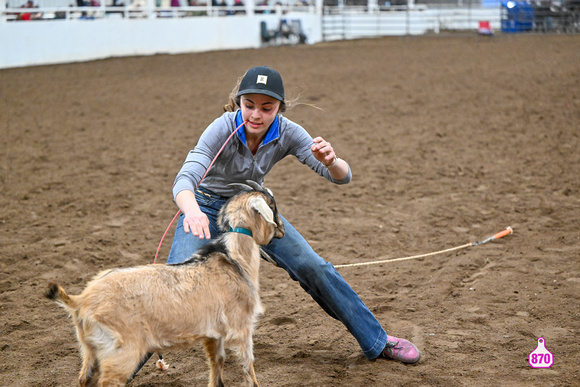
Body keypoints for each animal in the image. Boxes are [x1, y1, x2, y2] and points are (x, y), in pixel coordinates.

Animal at [46, 183, 286, 387]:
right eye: (272, 205)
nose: (283, 229)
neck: (233, 259)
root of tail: (81, 300)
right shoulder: (241, 328)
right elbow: (248, 367)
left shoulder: (213, 334)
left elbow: (217, 365)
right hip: (121, 352)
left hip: (91, 351)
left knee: (84, 379)